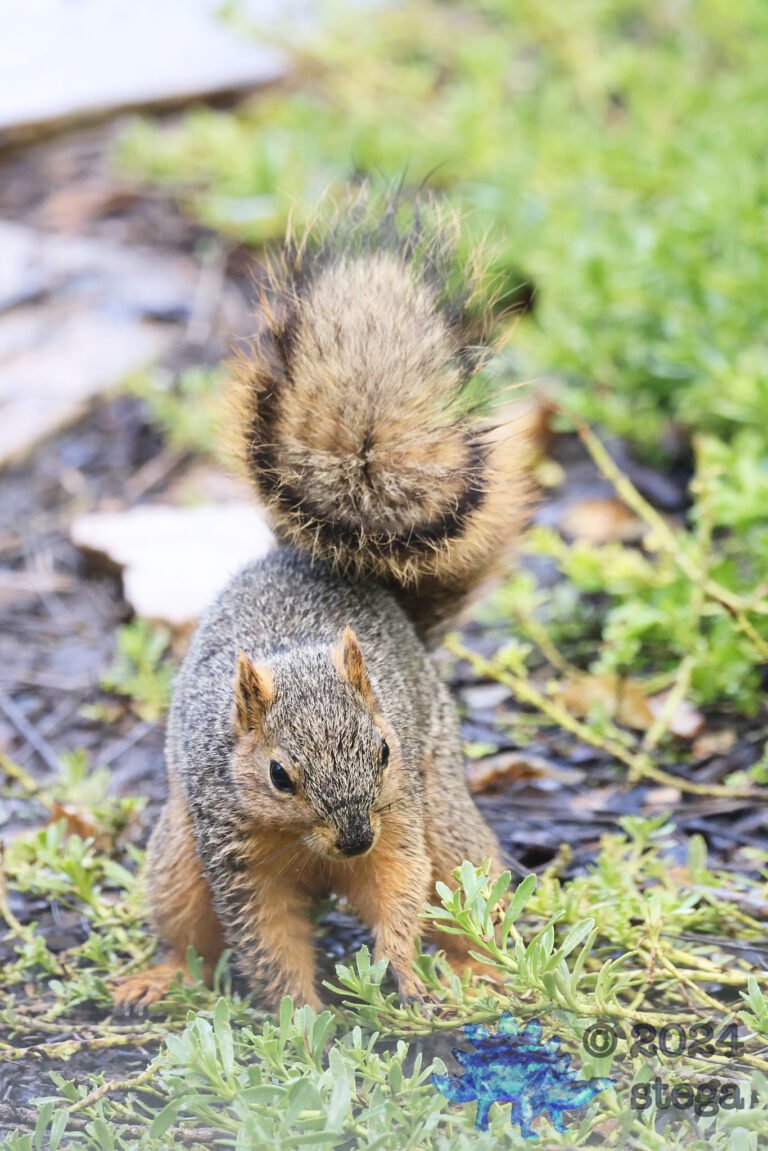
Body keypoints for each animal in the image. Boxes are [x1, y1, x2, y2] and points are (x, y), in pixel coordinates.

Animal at [113, 194, 531, 1014]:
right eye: (279, 774)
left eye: (384, 749)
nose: (352, 839)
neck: (313, 845)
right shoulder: (234, 849)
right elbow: (266, 938)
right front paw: (301, 1020)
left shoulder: (398, 815)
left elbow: (399, 889)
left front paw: (402, 972)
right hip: (177, 857)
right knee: (188, 934)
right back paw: (161, 976)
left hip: (446, 814)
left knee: (465, 891)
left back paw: (480, 971)